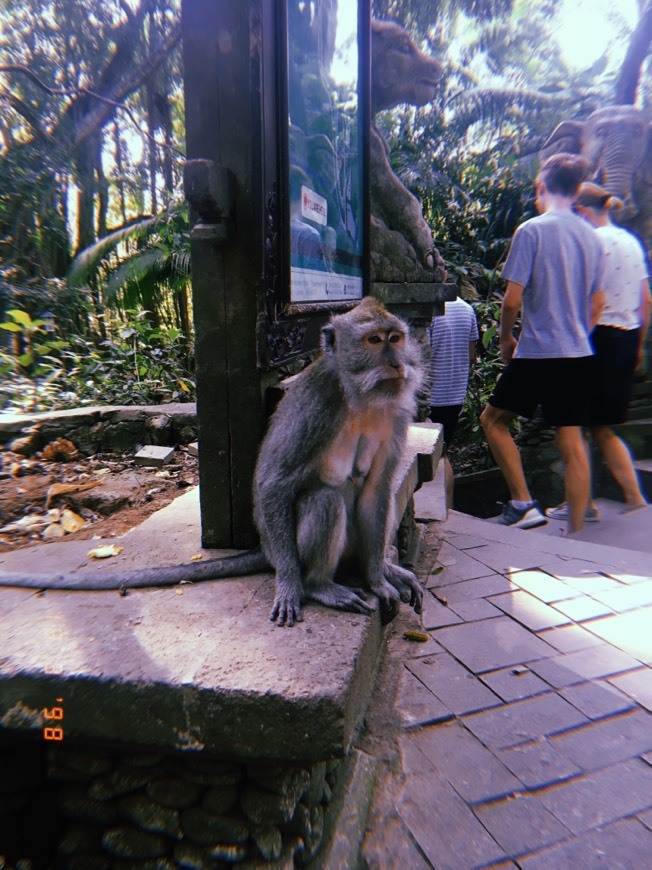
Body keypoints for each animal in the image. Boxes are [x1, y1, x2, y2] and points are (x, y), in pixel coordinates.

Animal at [0, 300, 426, 628]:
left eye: (396, 338)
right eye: (374, 340)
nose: (397, 365)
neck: (360, 398)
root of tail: (266, 550)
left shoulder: (396, 414)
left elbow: (377, 489)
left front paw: (377, 579)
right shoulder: (318, 404)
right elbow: (274, 483)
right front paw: (290, 585)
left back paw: (381, 568)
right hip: (285, 545)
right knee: (324, 501)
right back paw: (318, 584)